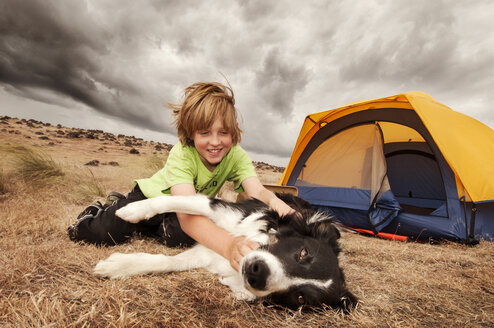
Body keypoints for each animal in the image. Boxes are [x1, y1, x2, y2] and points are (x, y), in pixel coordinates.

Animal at [93, 193, 356, 312]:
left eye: (300, 299)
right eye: (303, 253)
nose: (257, 272)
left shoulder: (207, 254)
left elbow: (165, 263)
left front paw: (117, 266)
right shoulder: (223, 212)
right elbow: (177, 200)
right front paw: (133, 210)